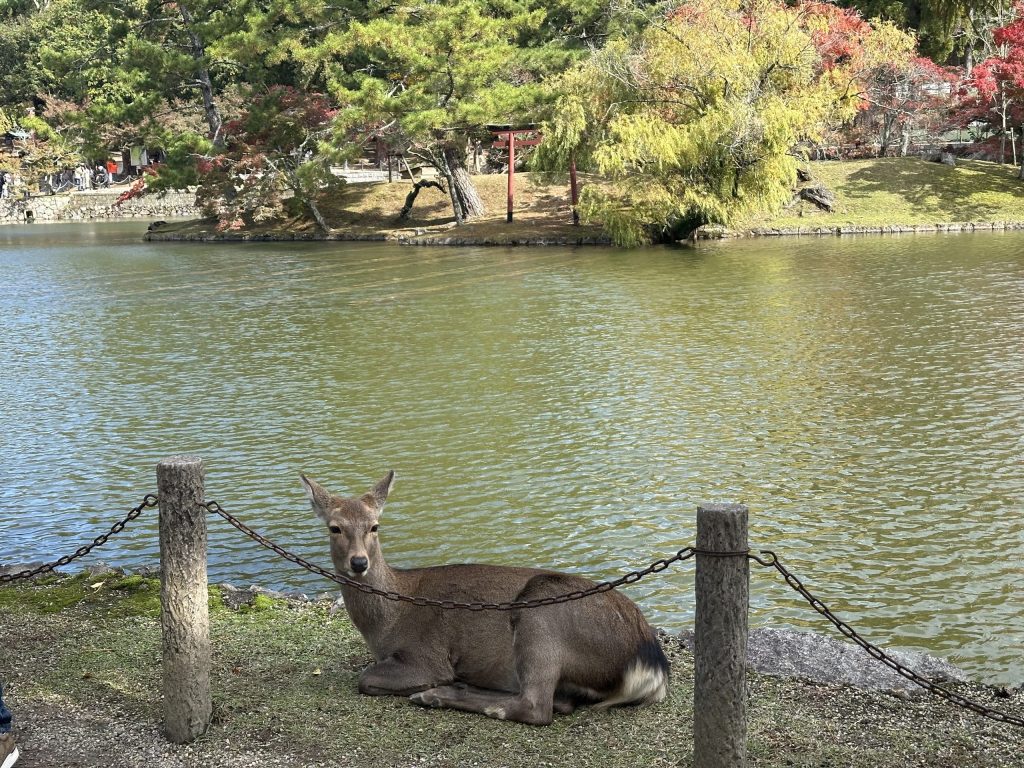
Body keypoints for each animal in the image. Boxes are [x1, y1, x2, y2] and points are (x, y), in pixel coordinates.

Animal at [301, 470, 670, 725]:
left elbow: (365, 679)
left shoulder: (427, 656)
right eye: (334, 527)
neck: (386, 621)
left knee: (535, 706)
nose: (359, 562)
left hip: (540, 612)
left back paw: (436, 694)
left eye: (374, 526)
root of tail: (650, 660)